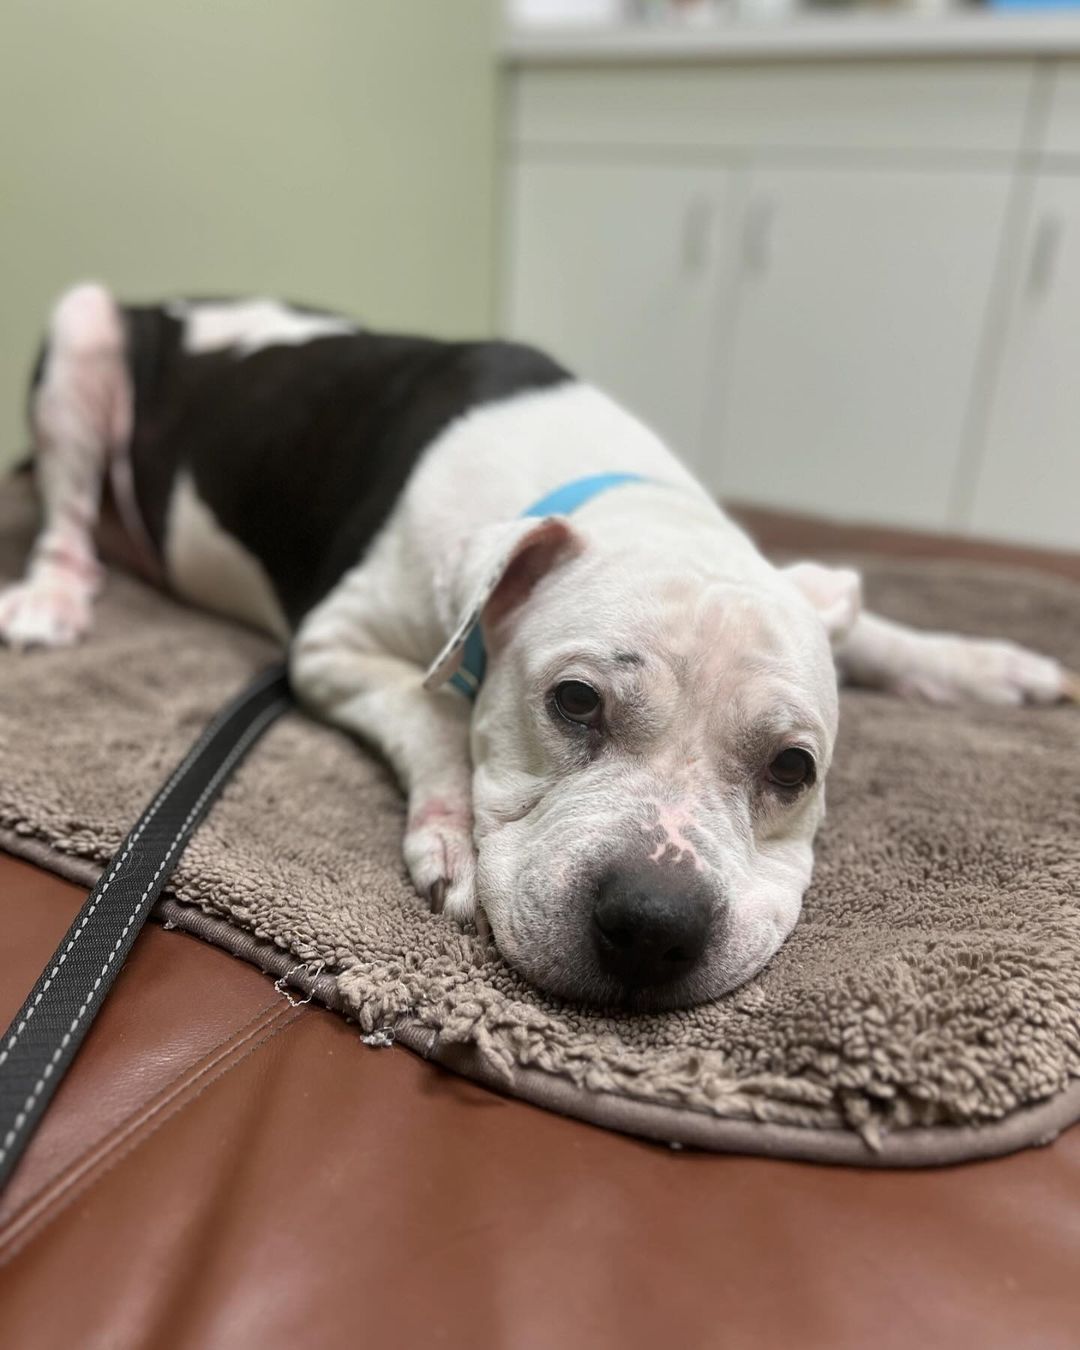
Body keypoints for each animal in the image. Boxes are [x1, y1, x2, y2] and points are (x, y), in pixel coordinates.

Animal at [4, 282, 1074, 1004]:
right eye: (575, 701)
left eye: (793, 768)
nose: (652, 925)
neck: (628, 496)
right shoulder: (329, 647)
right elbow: (436, 711)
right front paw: (448, 833)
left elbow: (877, 628)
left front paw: (983, 663)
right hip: (83, 332)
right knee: (64, 512)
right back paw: (54, 592)